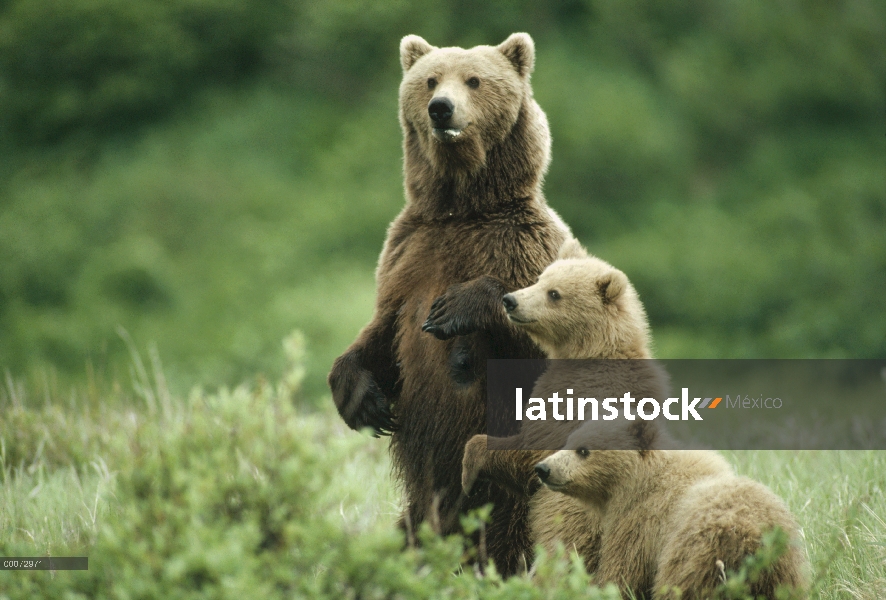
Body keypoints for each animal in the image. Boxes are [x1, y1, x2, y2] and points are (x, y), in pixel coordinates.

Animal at [330, 34, 572, 572]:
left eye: (475, 80)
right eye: (429, 80)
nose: (441, 108)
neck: (462, 208)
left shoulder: (525, 247)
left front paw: (457, 307)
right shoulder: (406, 255)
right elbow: (382, 334)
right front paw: (362, 400)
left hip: (513, 490)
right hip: (422, 507)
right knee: (410, 530)